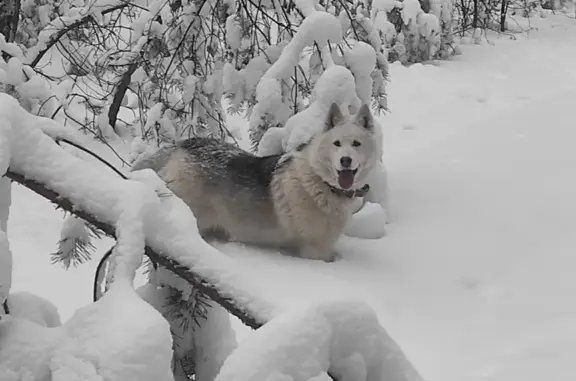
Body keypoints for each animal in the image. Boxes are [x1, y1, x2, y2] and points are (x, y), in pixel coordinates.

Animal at [133, 102, 380, 260]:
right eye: (337, 144)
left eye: (356, 144)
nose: (346, 160)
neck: (320, 183)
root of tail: (181, 145)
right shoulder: (314, 251)